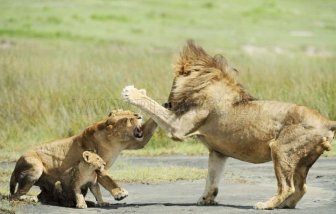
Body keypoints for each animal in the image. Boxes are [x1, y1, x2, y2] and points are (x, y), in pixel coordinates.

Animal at [8, 110, 158, 206]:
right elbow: (108, 179)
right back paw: (30, 199)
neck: (114, 141)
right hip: (35, 166)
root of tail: (14, 168)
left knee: (42, 196)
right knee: (14, 196)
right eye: (127, 119)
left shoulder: (137, 142)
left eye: (132, 112)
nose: (139, 115)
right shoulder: (98, 164)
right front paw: (119, 193)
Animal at [122, 41, 334, 210]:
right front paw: (205, 199)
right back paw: (284, 205)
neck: (205, 83)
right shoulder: (218, 152)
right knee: (301, 187)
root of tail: (327, 121)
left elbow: (153, 106)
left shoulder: (178, 127)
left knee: (287, 187)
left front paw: (132, 93)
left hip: (281, 149)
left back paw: (266, 205)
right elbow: (212, 177)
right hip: (302, 159)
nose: (168, 102)